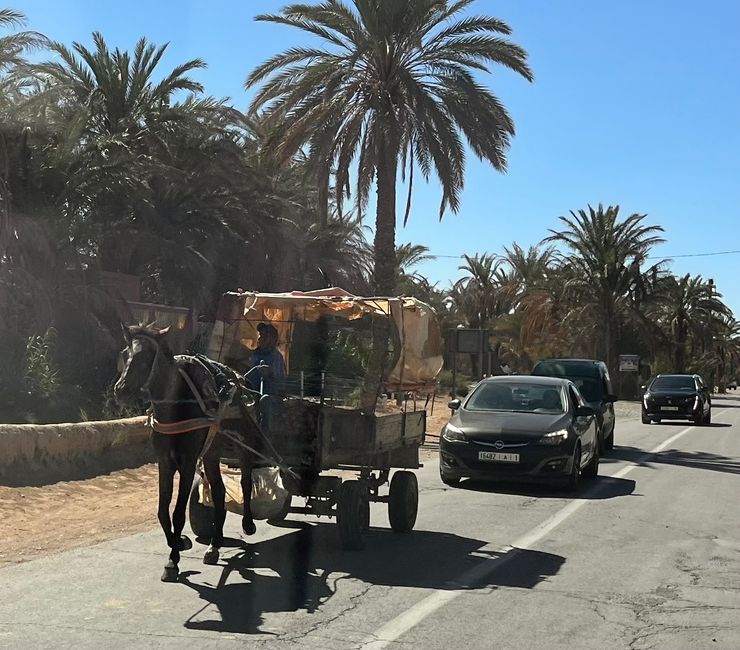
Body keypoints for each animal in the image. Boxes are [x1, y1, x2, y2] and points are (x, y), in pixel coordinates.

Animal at [114, 322, 264, 580]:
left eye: (145, 357)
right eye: (125, 354)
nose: (120, 390)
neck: (175, 408)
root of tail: (239, 378)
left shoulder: (187, 463)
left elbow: (177, 513)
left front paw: (172, 561)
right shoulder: (164, 462)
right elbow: (162, 512)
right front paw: (179, 542)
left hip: (243, 440)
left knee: (245, 478)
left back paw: (248, 523)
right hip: (212, 451)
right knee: (219, 491)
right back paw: (214, 545)